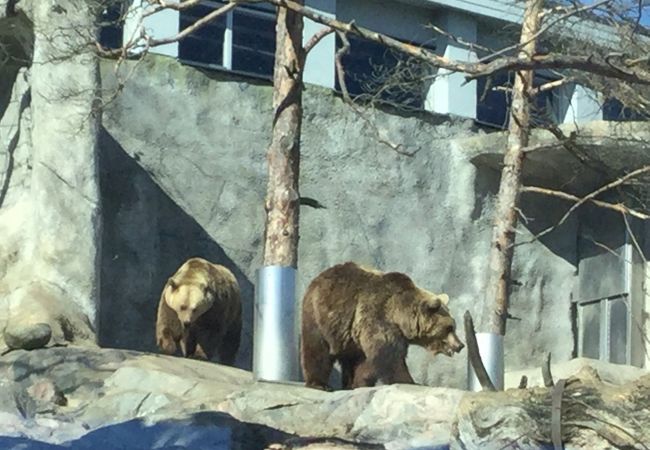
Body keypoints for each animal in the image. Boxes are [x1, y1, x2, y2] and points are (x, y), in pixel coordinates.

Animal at [302, 260, 464, 390]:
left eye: (453, 327)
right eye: (449, 328)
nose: (460, 345)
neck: (400, 317)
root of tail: (320, 276)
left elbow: (369, 358)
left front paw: (359, 382)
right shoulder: (378, 316)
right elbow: (387, 356)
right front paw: (410, 381)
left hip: (347, 331)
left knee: (350, 356)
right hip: (319, 314)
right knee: (316, 348)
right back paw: (319, 384)